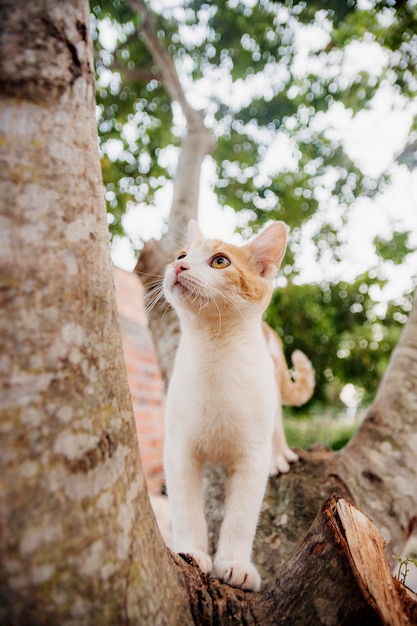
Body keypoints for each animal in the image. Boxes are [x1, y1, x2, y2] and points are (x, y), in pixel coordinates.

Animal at [162, 219, 312, 588]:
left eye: (220, 261)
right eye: (182, 255)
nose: (179, 267)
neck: (215, 352)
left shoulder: (252, 456)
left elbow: (242, 517)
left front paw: (234, 565)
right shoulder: (178, 450)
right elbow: (185, 508)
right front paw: (192, 552)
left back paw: (281, 453)